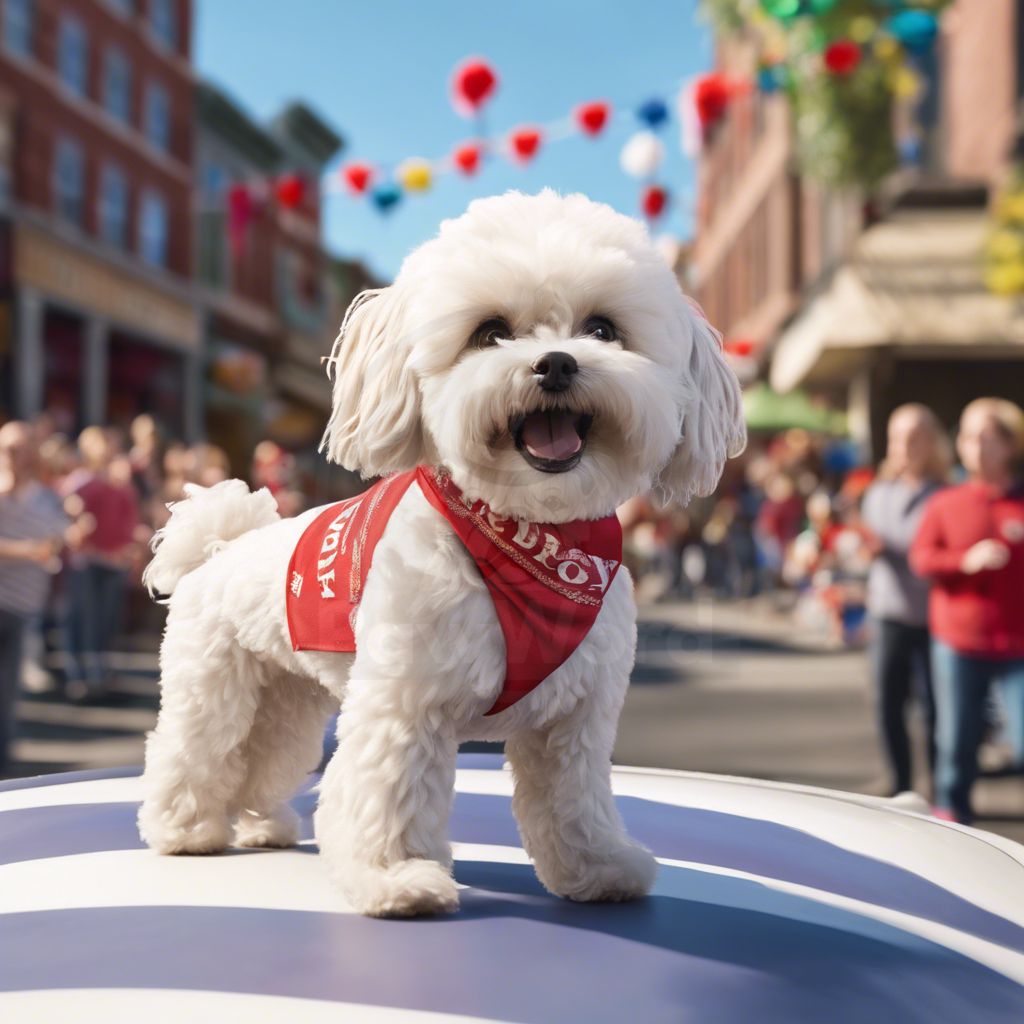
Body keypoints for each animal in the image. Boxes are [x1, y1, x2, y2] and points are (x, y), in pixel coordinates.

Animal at [138, 188, 745, 917]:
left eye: (603, 329)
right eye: (490, 332)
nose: (556, 363)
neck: (528, 537)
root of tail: (221, 546)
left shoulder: (574, 724)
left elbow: (574, 802)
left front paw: (596, 866)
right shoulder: (404, 702)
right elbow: (390, 789)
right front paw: (396, 876)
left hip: (288, 702)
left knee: (263, 764)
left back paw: (263, 825)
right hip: (214, 685)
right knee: (193, 752)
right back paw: (183, 830)